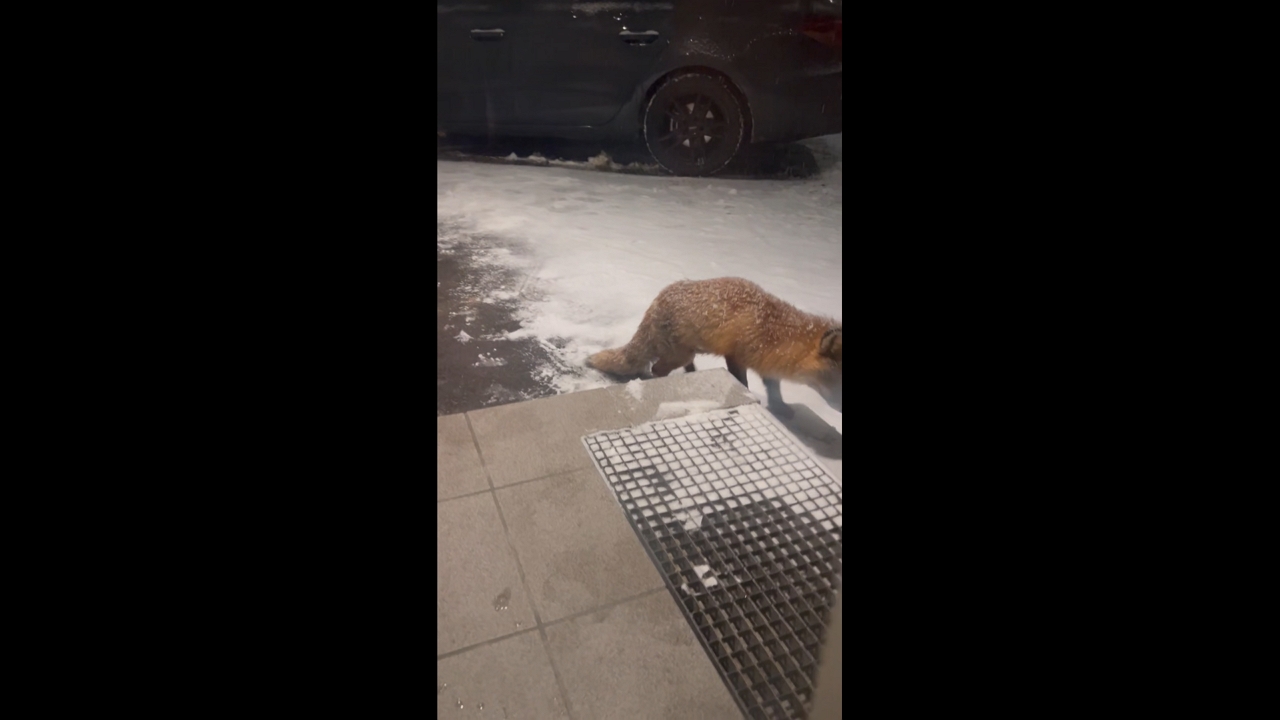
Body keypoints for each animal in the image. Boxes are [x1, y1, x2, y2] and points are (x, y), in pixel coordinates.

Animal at [585, 277, 841, 417]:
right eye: (837, 383)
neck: (773, 330)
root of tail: (656, 302)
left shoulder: (766, 362)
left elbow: (773, 388)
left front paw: (781, 408)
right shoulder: (736, 355)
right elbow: (743, 382)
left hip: (687, 352)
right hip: (679, 354)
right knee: (657, 369)